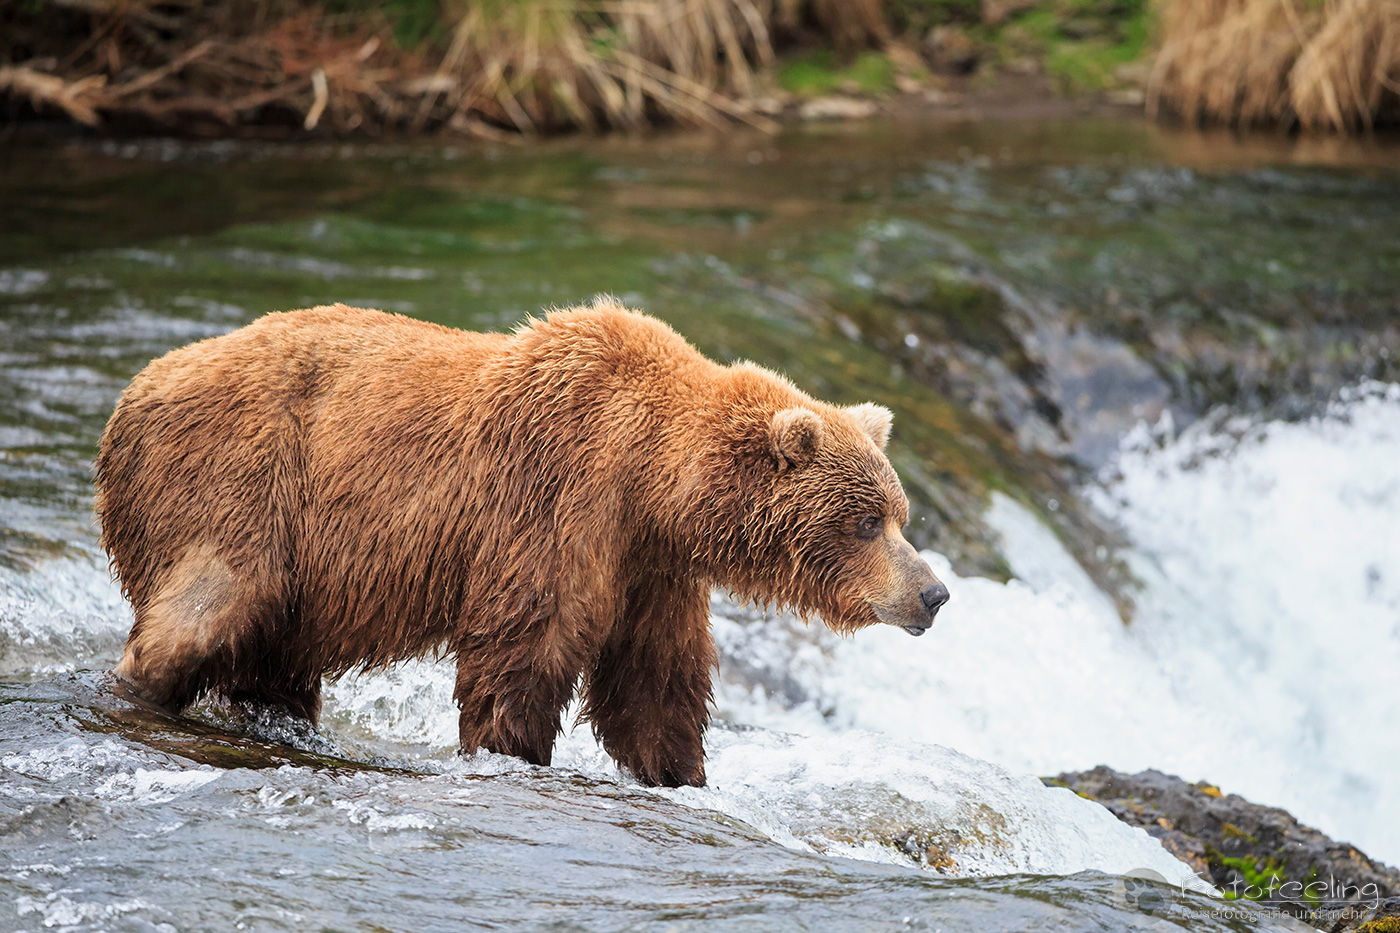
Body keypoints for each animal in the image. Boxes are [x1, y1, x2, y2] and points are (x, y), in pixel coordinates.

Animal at [96, 299, 948, 787]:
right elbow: (524, 645)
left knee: (271, 659)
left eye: (900, 513)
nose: (934, 591)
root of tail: (133, 391)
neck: (651, 478)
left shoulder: (649, 566)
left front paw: (678, 771)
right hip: (243, 483)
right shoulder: (555, 495)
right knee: (203, 609)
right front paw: (512, 749)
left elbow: (653, 682)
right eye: (867, 520)